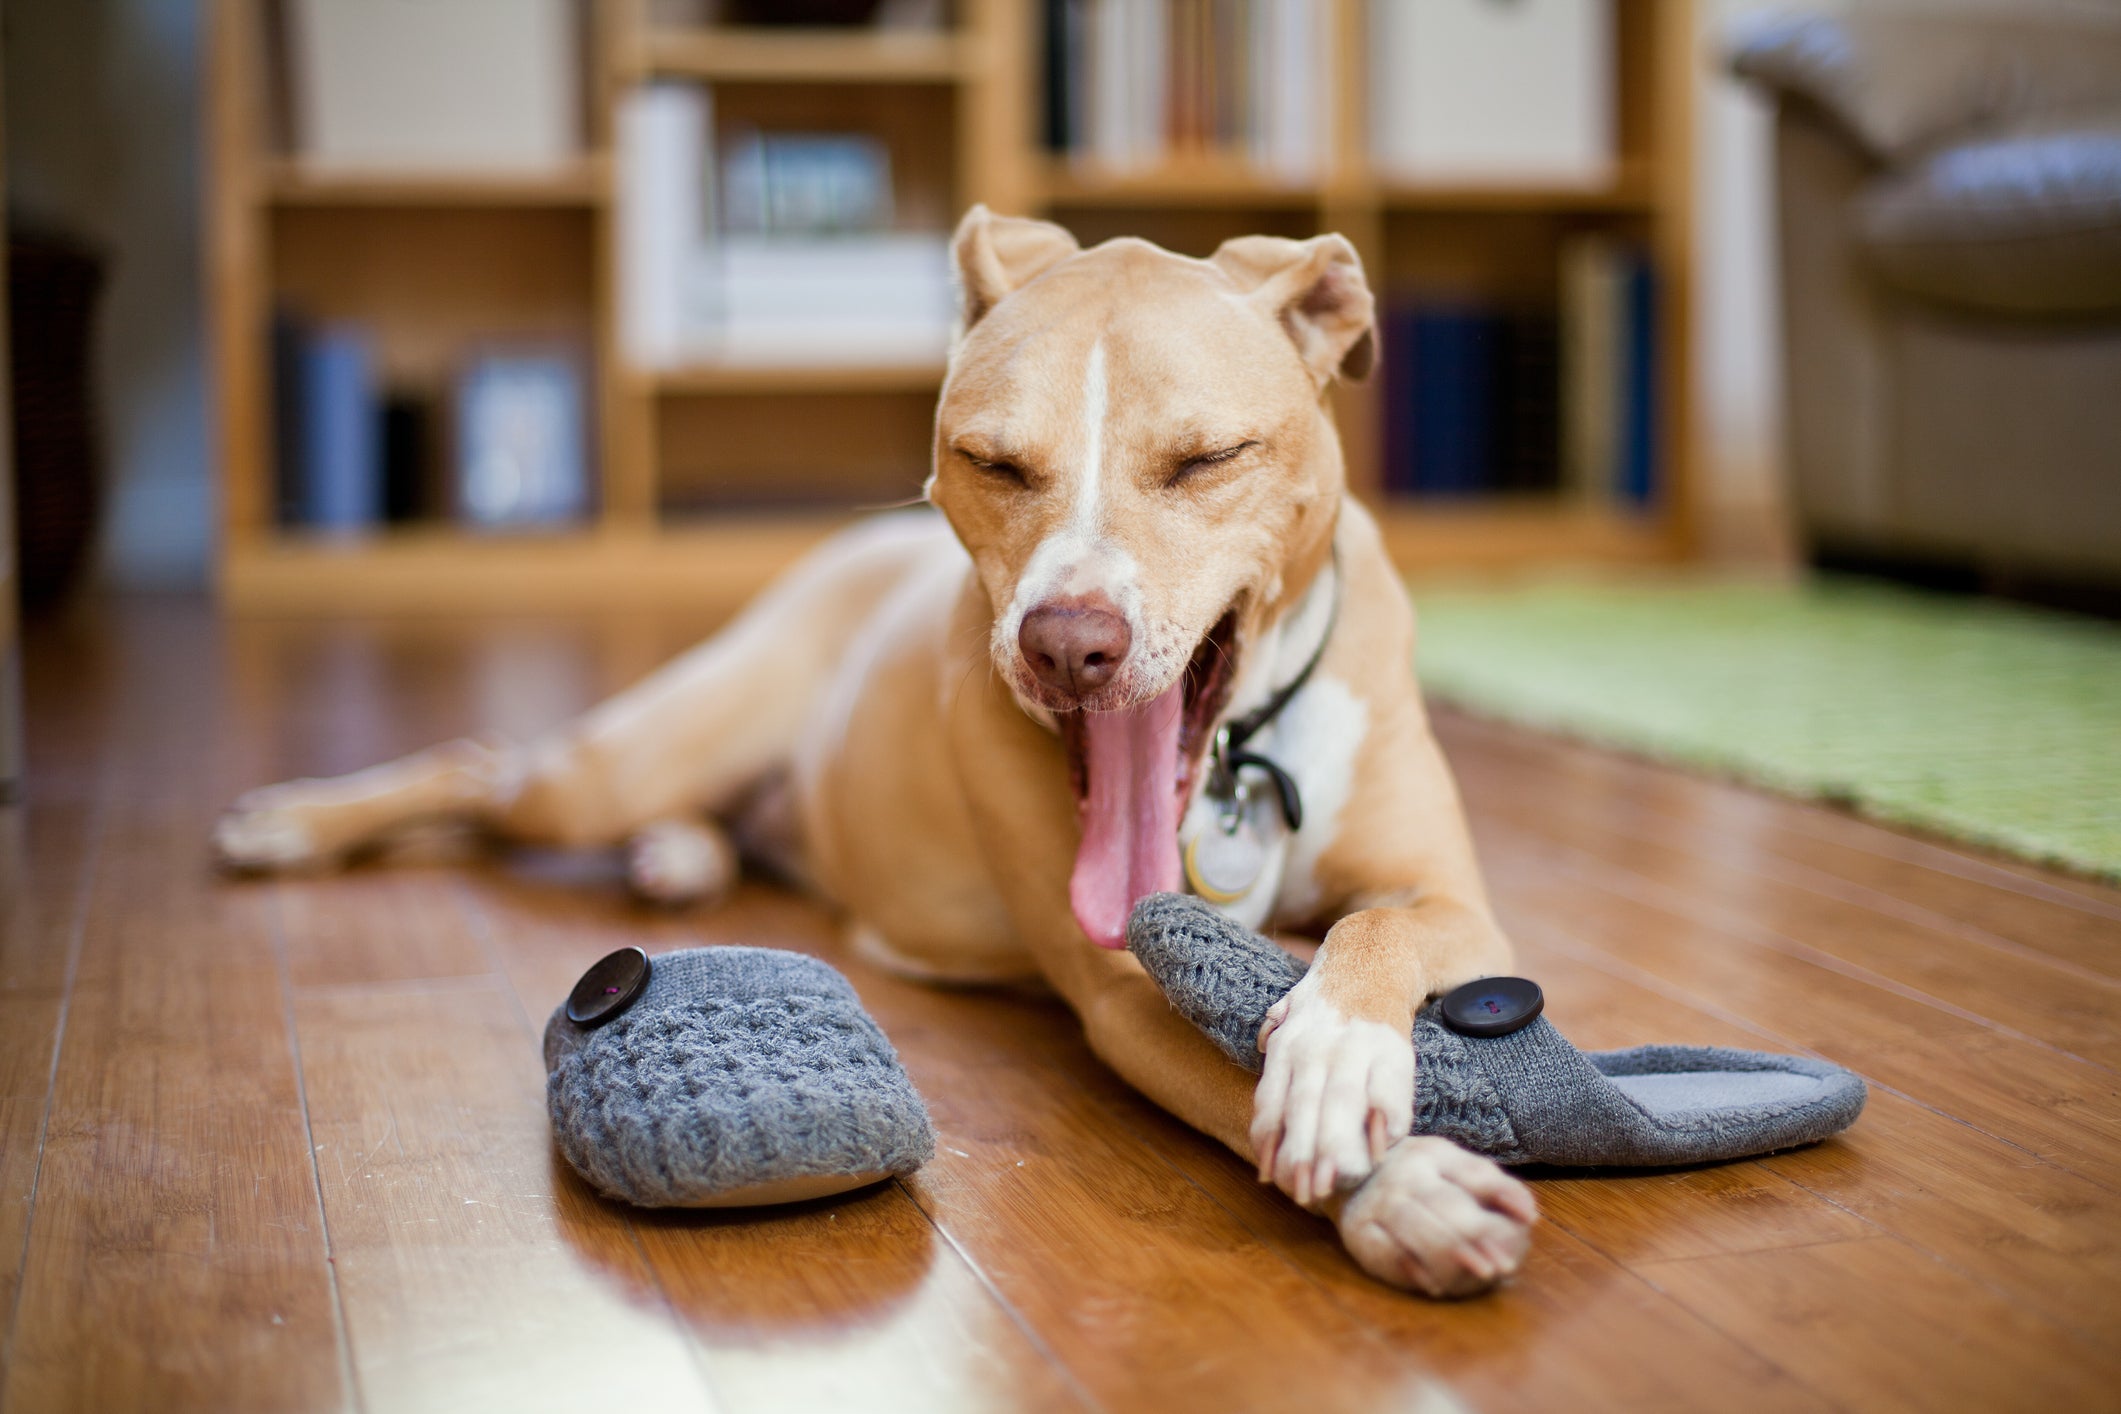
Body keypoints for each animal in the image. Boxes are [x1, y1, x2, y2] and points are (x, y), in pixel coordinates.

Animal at [215, 209, 1544, 1305]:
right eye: (993, 462)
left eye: (1209, 458)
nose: (1069, 643)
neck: (1234, 753)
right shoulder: (1123, 990)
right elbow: (1225, 1077)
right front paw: (1401, 1186)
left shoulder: (1457, 903)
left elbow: (1374, 929)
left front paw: (1332, 1053)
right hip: (609, 768)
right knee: (479, 763)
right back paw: (290, 821)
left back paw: (676, 857)